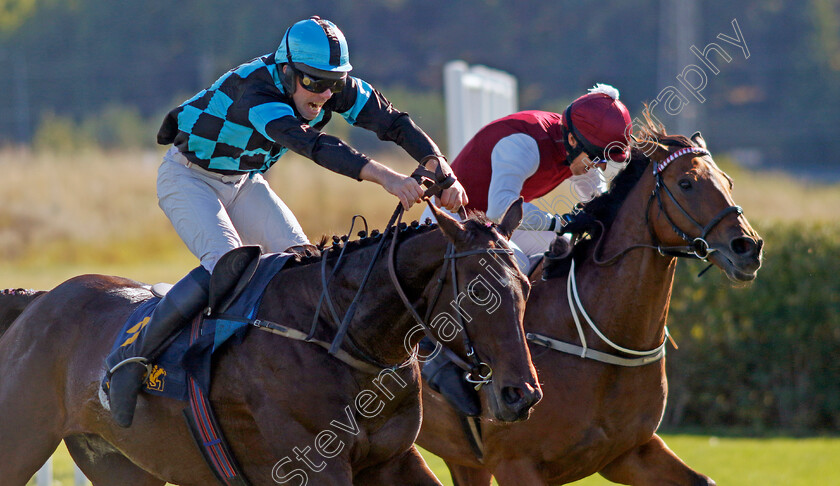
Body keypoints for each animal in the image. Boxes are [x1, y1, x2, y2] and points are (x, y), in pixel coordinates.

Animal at [0, 201, 540, 486]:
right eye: (477, 293)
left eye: (525, 288)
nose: (522, 395)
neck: (334, 335)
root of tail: (38, 302)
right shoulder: (316, 467)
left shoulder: (394, 460)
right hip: (21, 440)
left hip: (119, 461)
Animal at [416, 127, 764, 484]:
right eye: (686, 183)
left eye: (728, 182)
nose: (748, 247)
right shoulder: (515, 463)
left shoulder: (628, 452)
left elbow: (702, 479)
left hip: (465, 460)